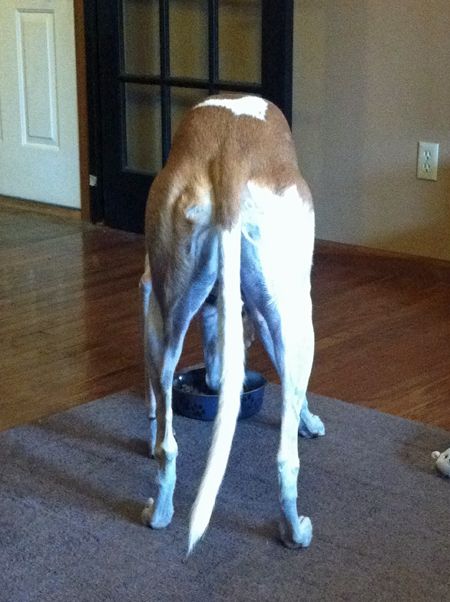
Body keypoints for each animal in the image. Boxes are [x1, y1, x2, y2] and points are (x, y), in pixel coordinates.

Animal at [140, 91, 324, 552]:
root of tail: (229, 155)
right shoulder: (270, 319)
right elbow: (298, 394)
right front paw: (310, 422)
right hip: (300, 317)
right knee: (286, 458)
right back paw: (295, 532)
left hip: (164, 318)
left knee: (168, 443)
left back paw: (160, 513)